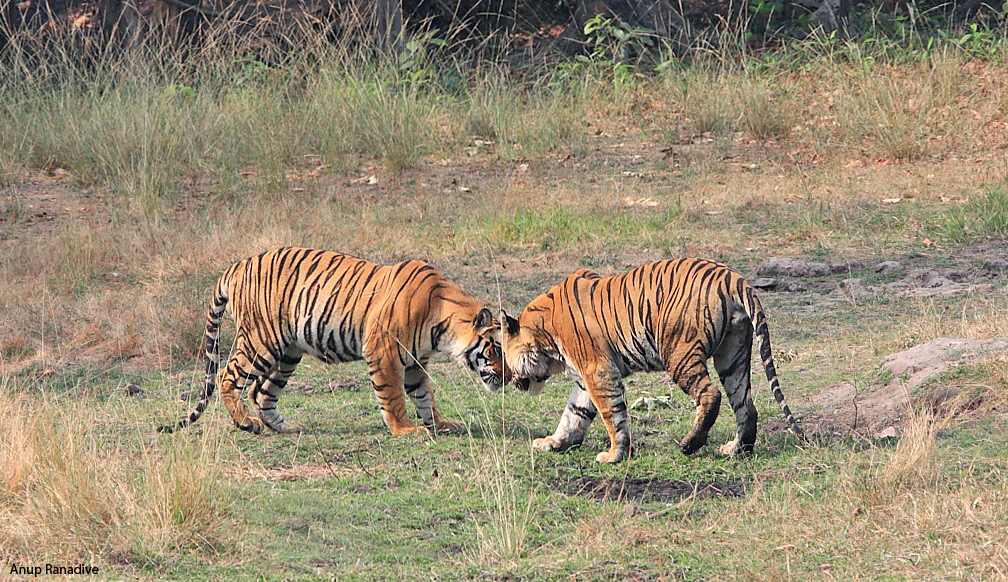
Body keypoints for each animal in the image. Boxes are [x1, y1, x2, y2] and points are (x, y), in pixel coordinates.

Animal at [159, 246, 512, 435]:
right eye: (495, 348)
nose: (510, 377)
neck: (442, 326)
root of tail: (236, 266)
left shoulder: (415, 361)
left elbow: (425, 395)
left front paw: (440, 423)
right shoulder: (383, 351)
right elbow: (393, 396)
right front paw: (405, 429)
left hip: (288, 352)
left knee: (262, 391)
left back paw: (286, 428)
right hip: (261, 340)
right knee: (226, 376)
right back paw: (246, 422)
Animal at [501, 258, 802, 463]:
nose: (512, 381)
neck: (546, 336)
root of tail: (732, 277)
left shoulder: (598, 372)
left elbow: (612, 414)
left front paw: (614, 455)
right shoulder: (584, 380)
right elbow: (574, 414)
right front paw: (555, 443)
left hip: (679, 354)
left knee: (711, 395)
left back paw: (690, 443)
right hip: (732, 357)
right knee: (746, 406)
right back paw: (737, 449)